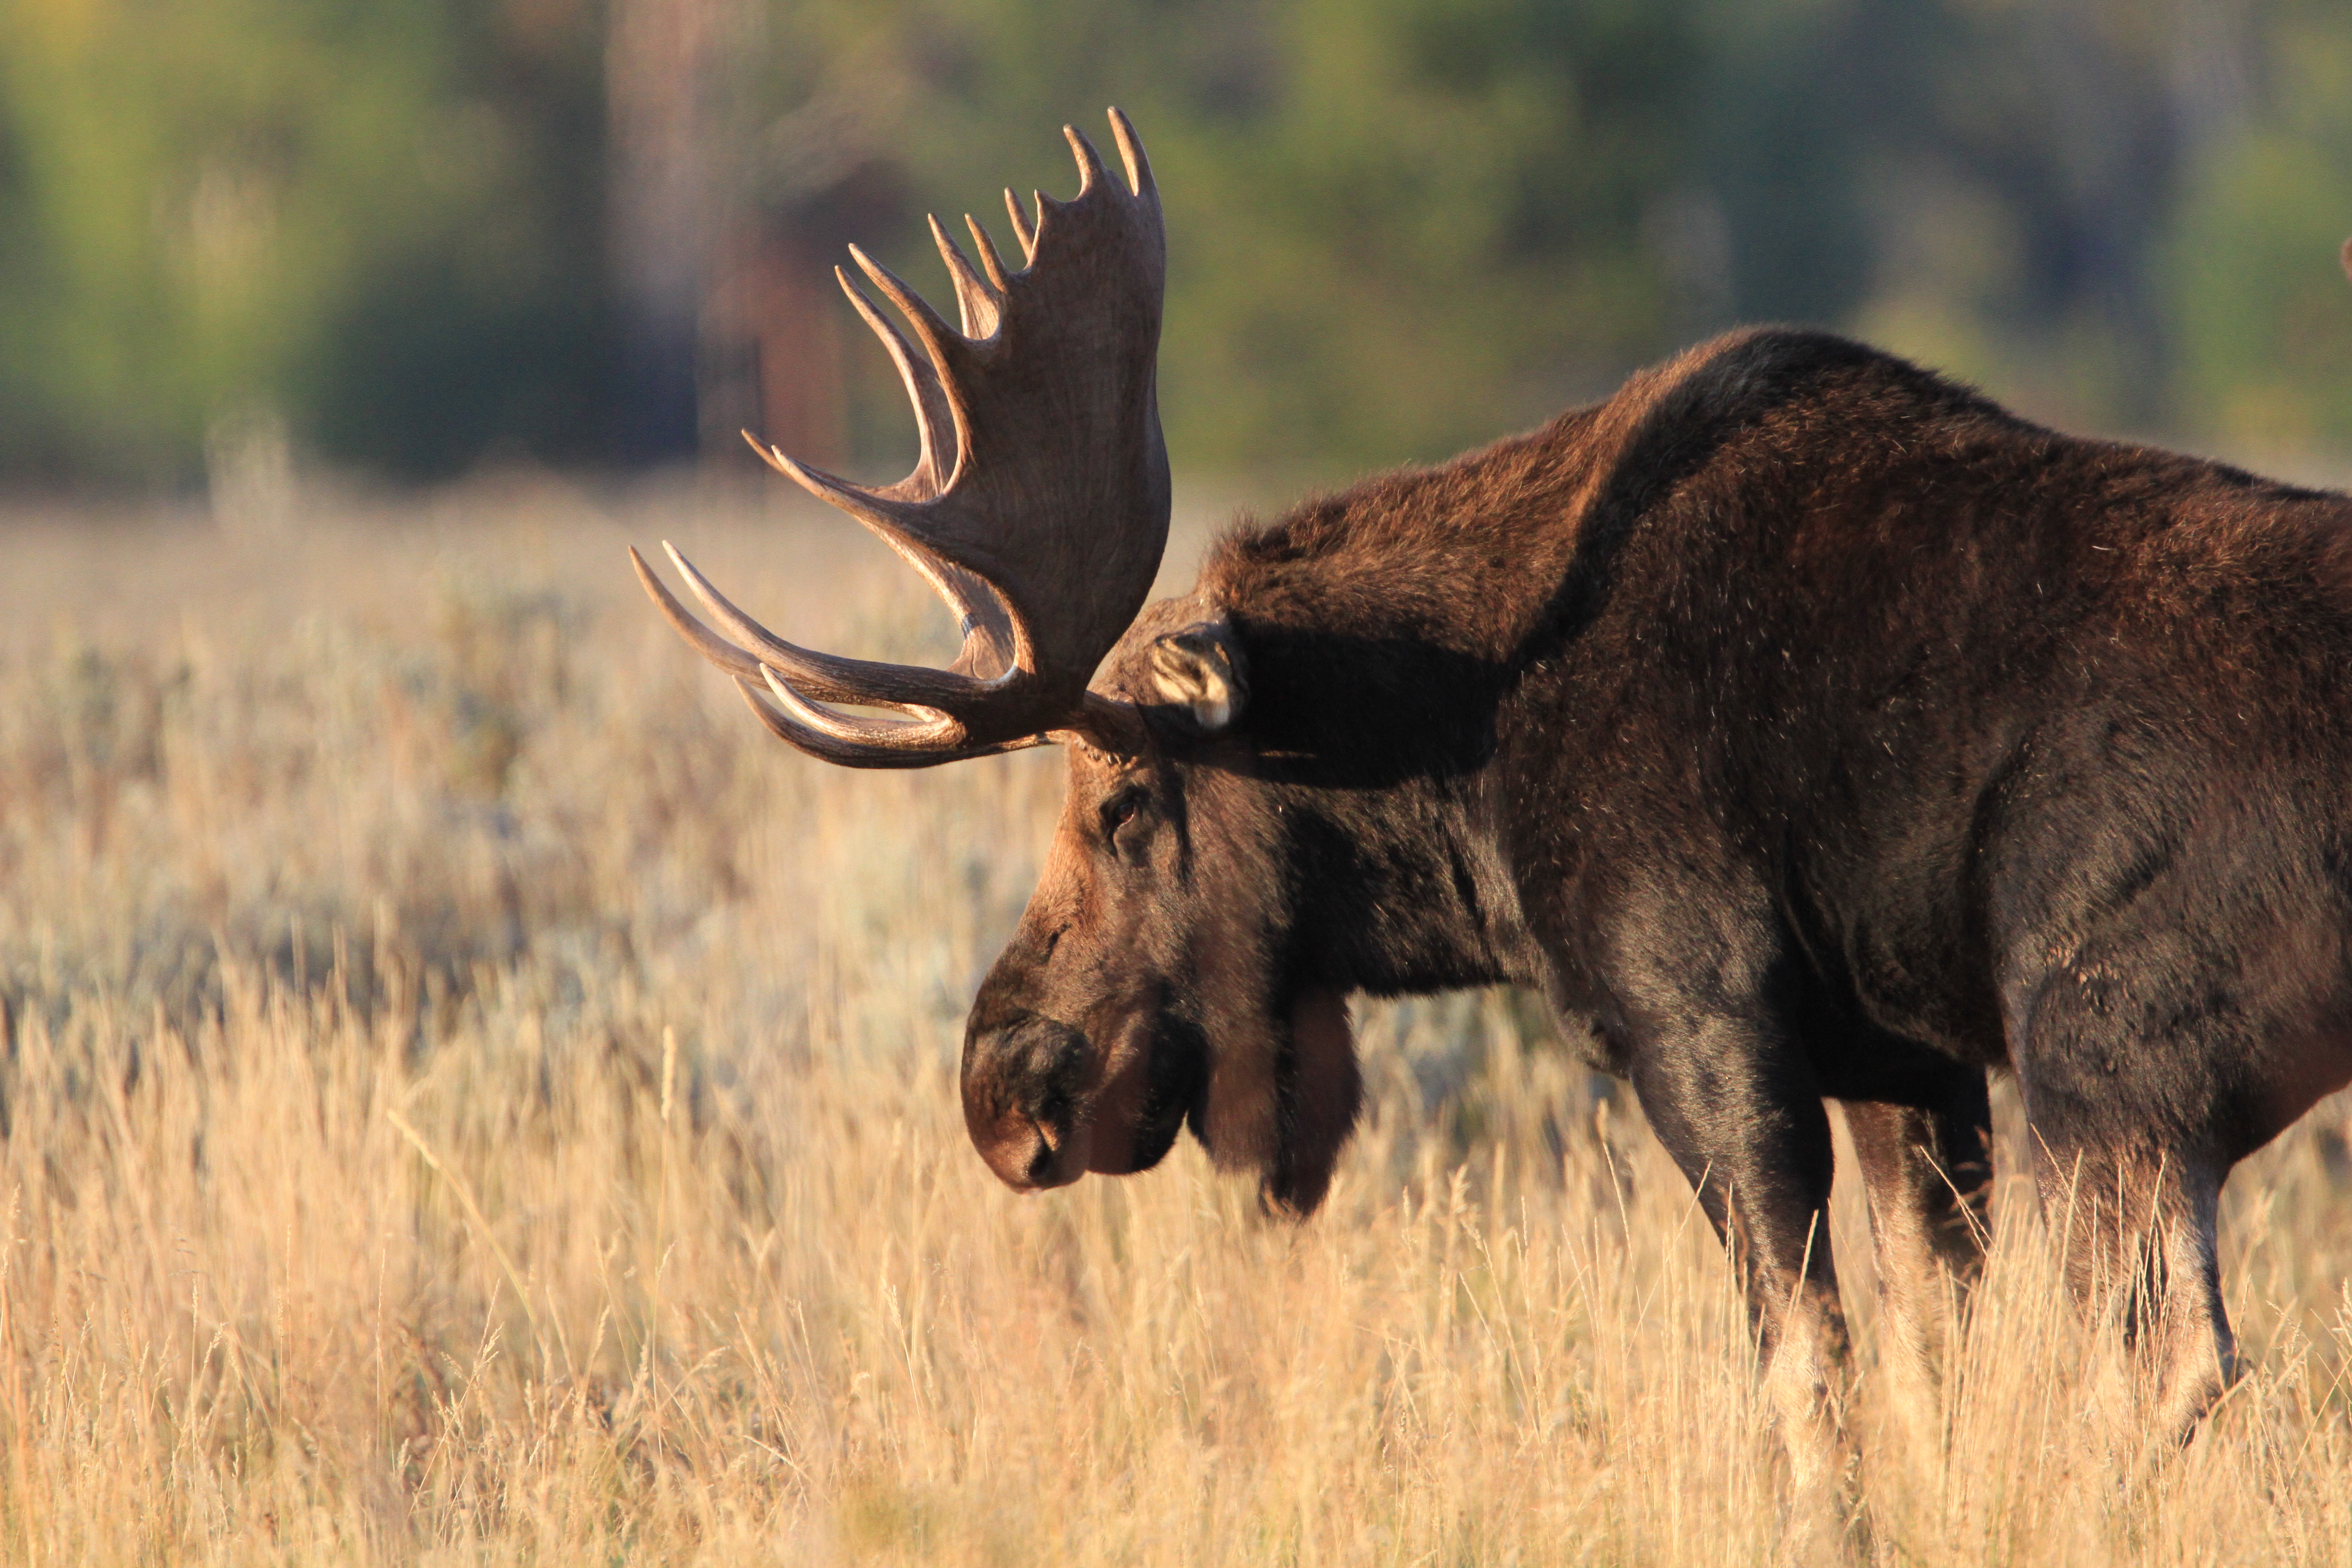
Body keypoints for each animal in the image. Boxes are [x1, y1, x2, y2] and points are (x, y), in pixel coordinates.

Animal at [631, 111, 2352, 1528]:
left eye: (1122, 804)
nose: (1003, 1085)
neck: (1463, 774)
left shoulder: (1698, 1010)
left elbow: (1810, 1372)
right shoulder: (1905, 1059)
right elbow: (1936, 1362)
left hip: (2109, 1049)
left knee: (2177, 1361)